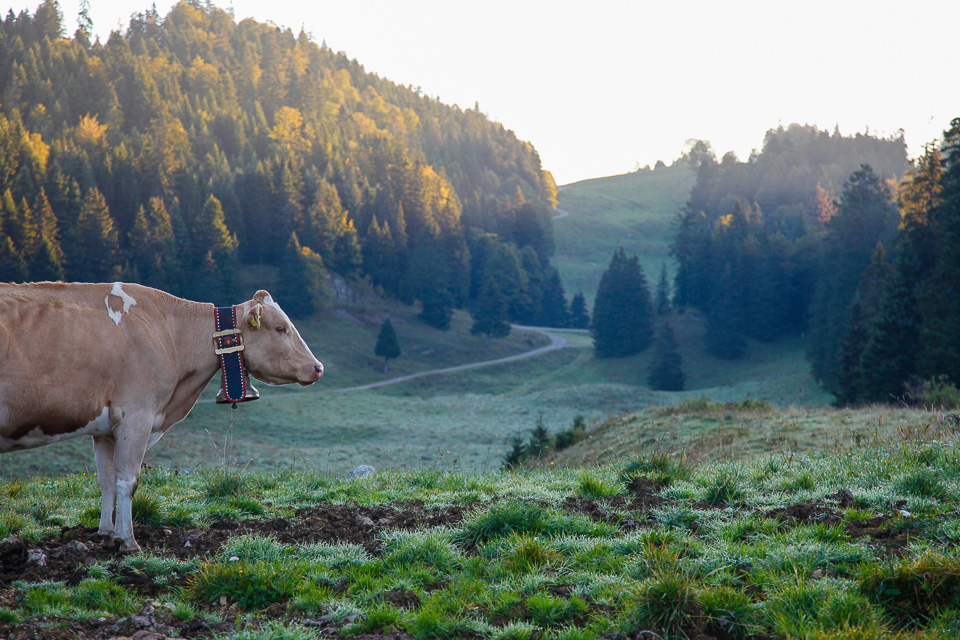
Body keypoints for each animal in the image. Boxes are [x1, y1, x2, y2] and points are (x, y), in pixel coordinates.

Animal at [0, 282, 324, 552]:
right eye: (280, 328)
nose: (317, 367)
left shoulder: (103, 429)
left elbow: (106, 480)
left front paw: (106, 534)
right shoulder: (137, 415)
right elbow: (127, 480)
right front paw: (128, 542)